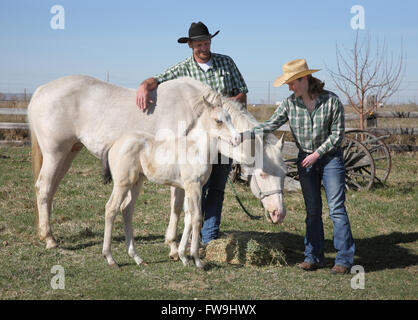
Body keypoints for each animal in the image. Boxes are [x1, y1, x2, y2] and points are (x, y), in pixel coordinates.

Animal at [27, 75, 286, 250]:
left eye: (284, 175)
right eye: (262, 174)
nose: (278, 214)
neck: (194, 113)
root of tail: (40, 91)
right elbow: (177, 206)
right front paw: (172, 245)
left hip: (68, 153)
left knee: (50, 190)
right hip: (55, 154)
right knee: (43, 188)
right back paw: (49, 239)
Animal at [102, 99, 242, 268]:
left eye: (230, 118)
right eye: (218, 121)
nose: (237, 139)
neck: (196, 148)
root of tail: (114, 144)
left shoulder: (188, 188)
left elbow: (188, 217)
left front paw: (183, 257)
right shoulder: (194, 186)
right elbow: (196, 218)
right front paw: (196, 260)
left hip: (136, 182)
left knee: (127, 210)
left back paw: (137, 258)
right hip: (122, 183)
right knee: (111, 209)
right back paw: (110, 258)